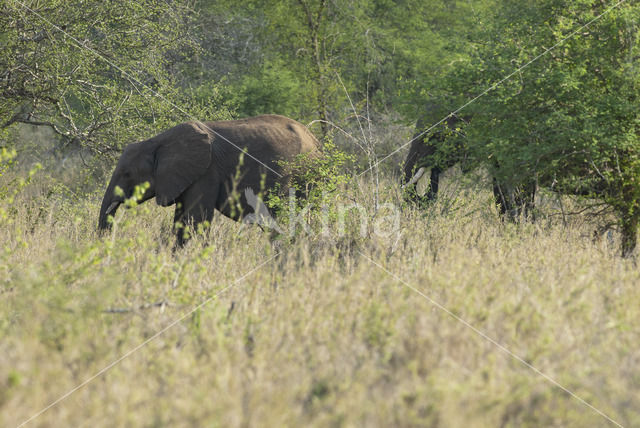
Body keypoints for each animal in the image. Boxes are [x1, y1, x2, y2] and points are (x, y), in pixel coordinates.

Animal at [98, 113, 320, 246]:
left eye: (127, 174)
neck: (157, 142)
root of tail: (315, 140)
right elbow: (181, 221)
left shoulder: (206, 172)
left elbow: (195, 221)